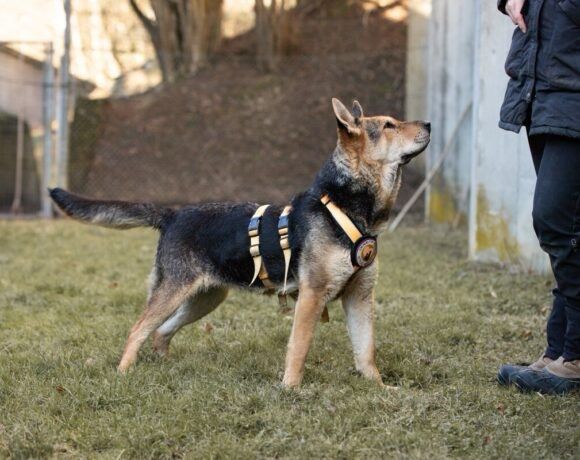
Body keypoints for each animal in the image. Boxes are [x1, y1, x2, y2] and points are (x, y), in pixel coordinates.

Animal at [51, 99, 430, 388]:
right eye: (389, 125)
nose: (428, 123)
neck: (343, 205)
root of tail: (173, 214)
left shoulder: (359, 296)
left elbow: (366, 351)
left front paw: (380, 389)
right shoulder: (311, 296)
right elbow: (299, 348)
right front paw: (291, 390)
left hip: (205, 298)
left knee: (160, 332)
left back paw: (165, 367)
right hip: (174, 292)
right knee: (137, 329)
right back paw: (123, 373)